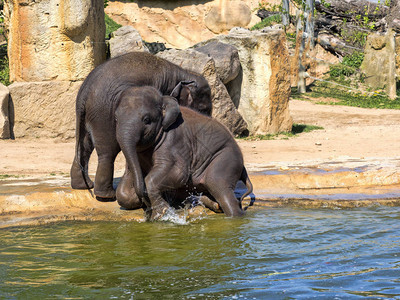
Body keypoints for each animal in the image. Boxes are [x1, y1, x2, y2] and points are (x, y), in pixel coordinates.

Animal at [69, 51, 212, 202]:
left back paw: (83, 186)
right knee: (108, 151)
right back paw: (107, 196)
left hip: (89, 115)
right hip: (103, 114)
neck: (183, 73)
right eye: (204, 109)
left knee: (85, 145)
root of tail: (84, 92)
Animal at [116, 85, 253, 219]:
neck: (163, 99)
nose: (147, 206)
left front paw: (161, 214)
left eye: (146, 119)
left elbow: (177, 173)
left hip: (226, 159)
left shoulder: (174, 140)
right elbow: (124, 193)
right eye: (116, 119)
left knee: (220, 187)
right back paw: (215, 205)